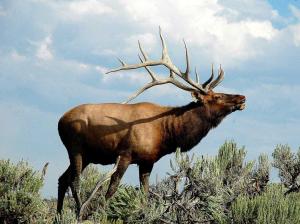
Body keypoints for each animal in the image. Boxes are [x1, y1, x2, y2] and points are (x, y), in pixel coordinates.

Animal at [56, 28, 246, 216]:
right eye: (217, 96)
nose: (242, 97)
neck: (166, 133)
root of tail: (60, 120)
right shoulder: (125, 154)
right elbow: (111, 190)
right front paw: (100, 215)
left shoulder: (147, 161)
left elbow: (145, 194)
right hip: (75, 148)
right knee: (74, 181)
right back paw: (78, 212)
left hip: (88, 155)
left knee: (62, 179)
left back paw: (59, 215)